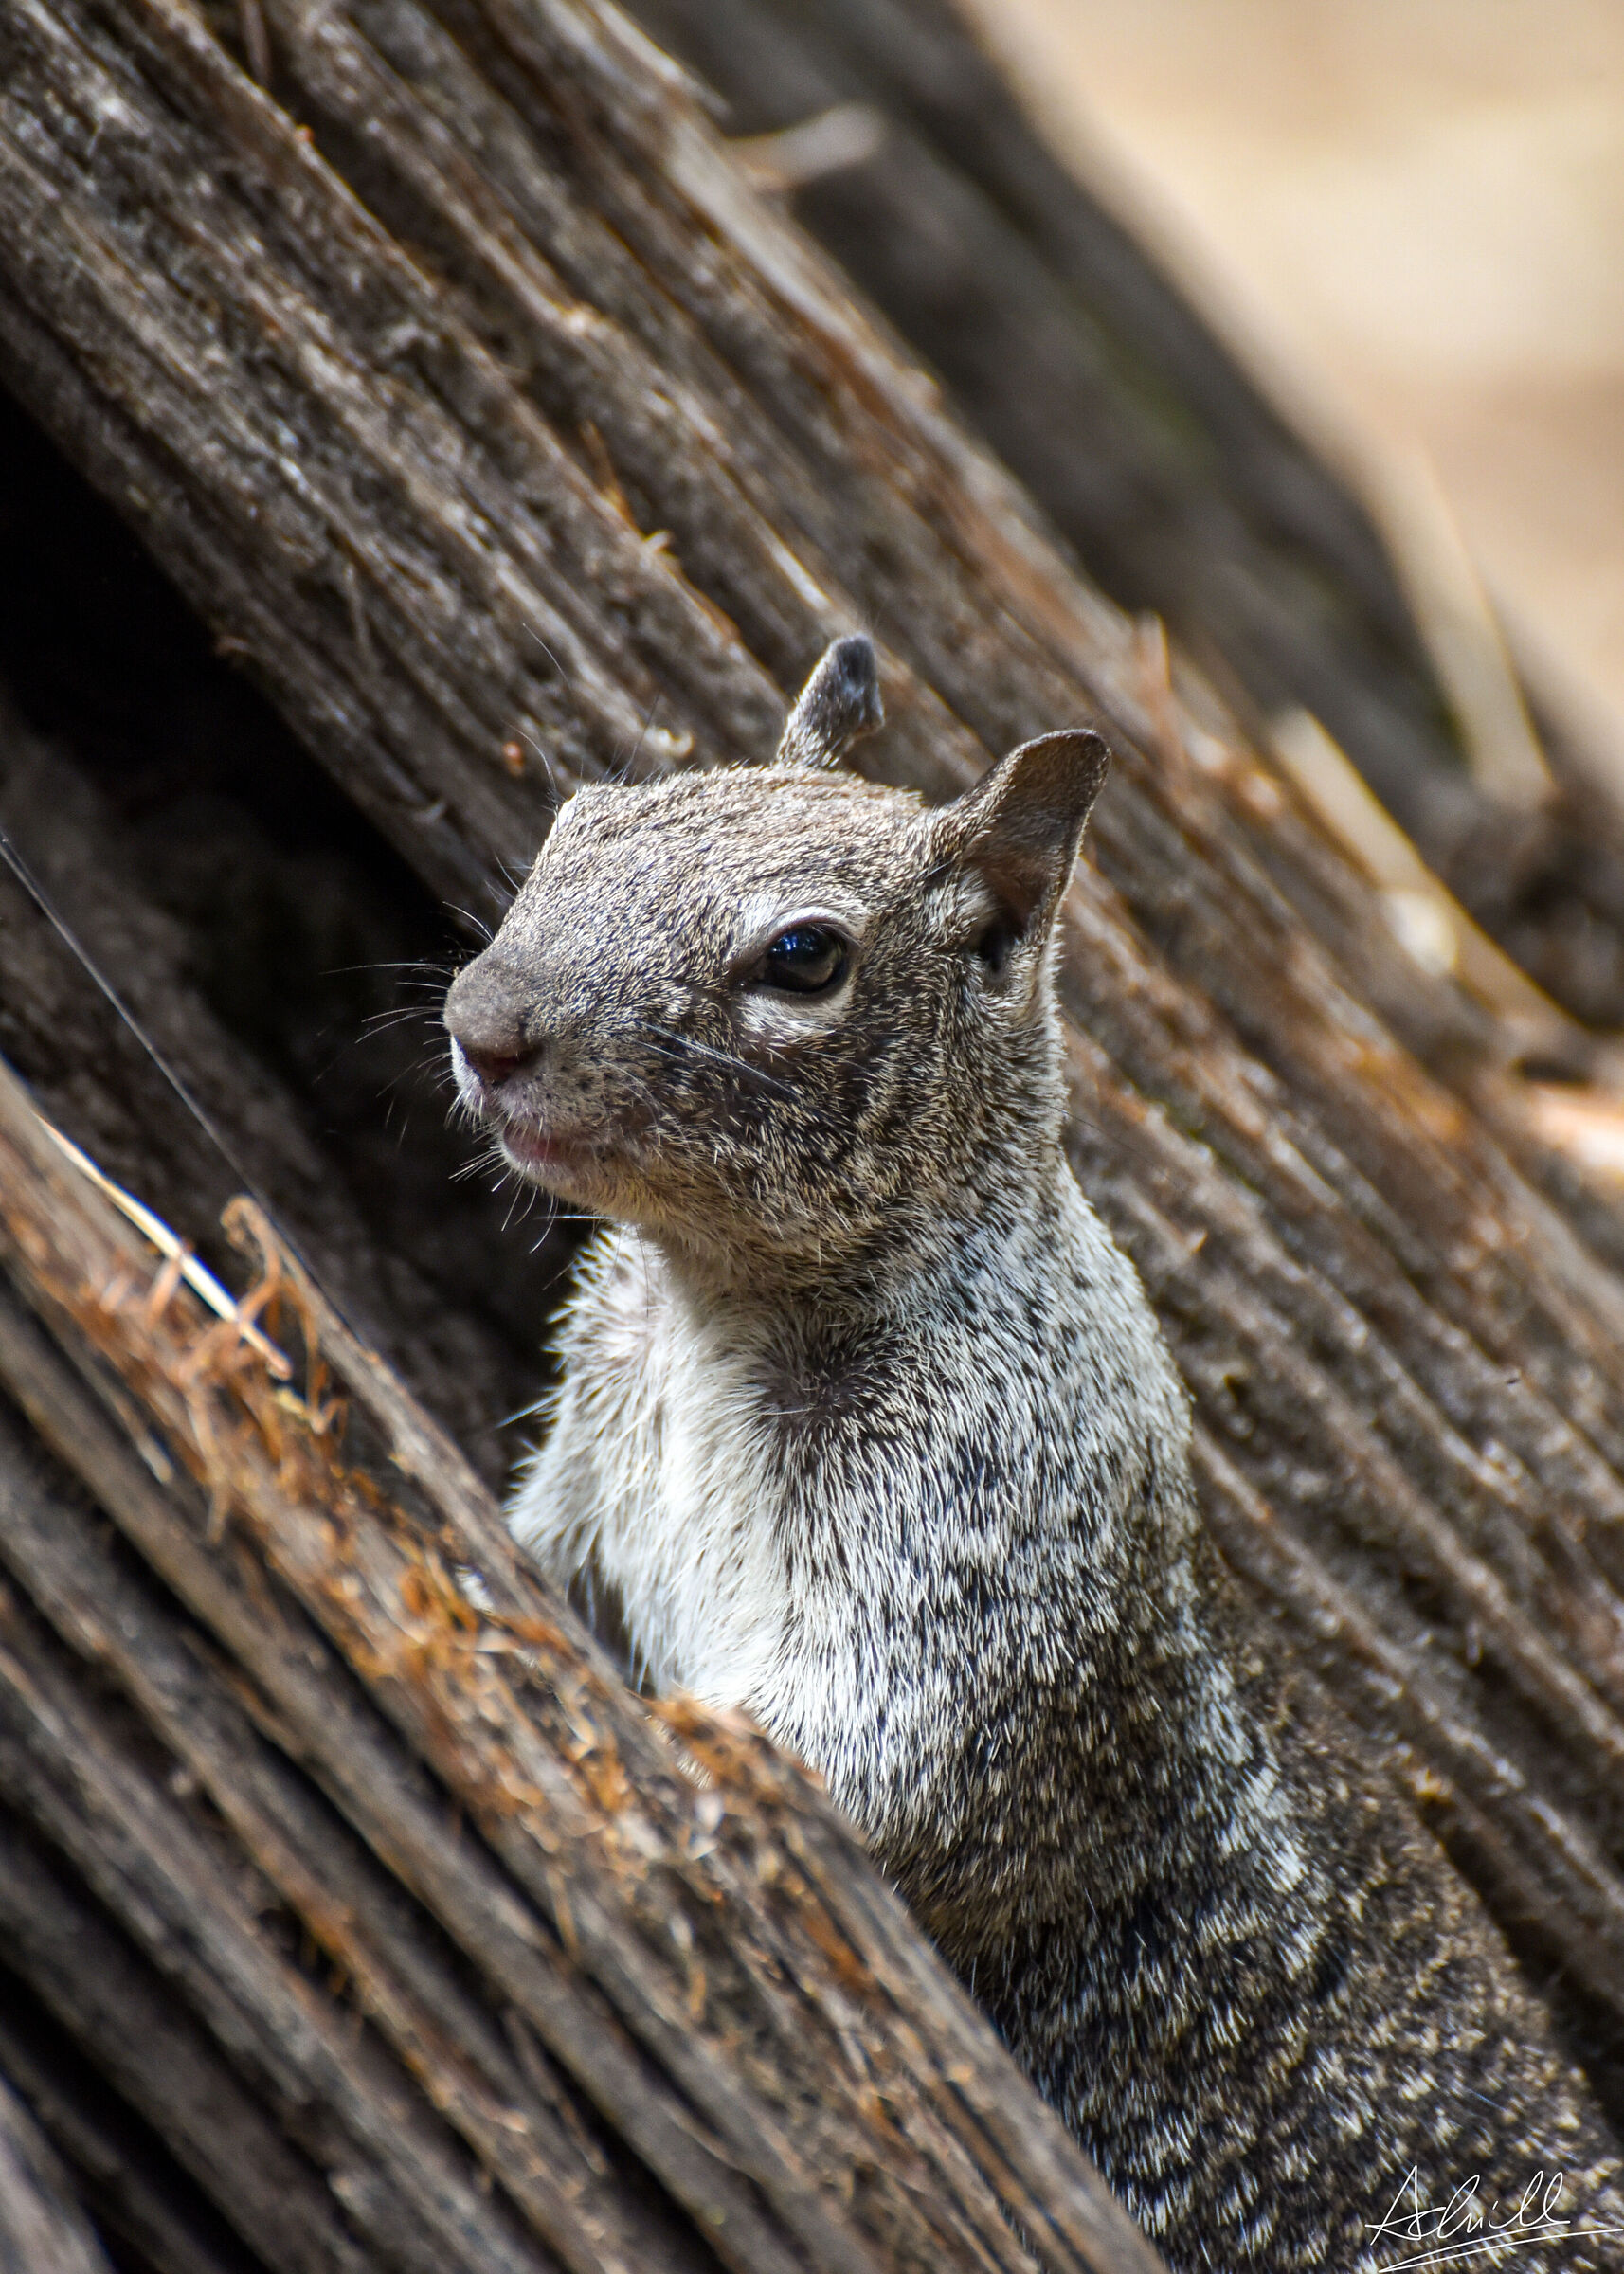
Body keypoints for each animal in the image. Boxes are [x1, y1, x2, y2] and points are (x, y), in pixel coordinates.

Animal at [445, 637, 1624, 2271]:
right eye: (582, 814)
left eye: (802, 958)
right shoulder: (592, 1452)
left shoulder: (986, 1539)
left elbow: (860, 1767)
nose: (483, 1022)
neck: (711, 1307)